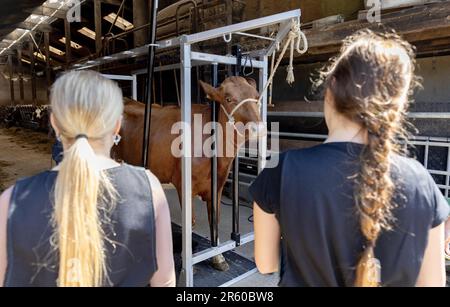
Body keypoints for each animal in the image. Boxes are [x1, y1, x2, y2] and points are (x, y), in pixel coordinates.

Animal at [116, 77, 262, 272]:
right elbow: (190, 222)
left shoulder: (217, 185)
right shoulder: (184, 185)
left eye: (257, 97)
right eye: (229, 99)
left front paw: (218, 257)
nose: (258, 128)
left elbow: (214, 219)